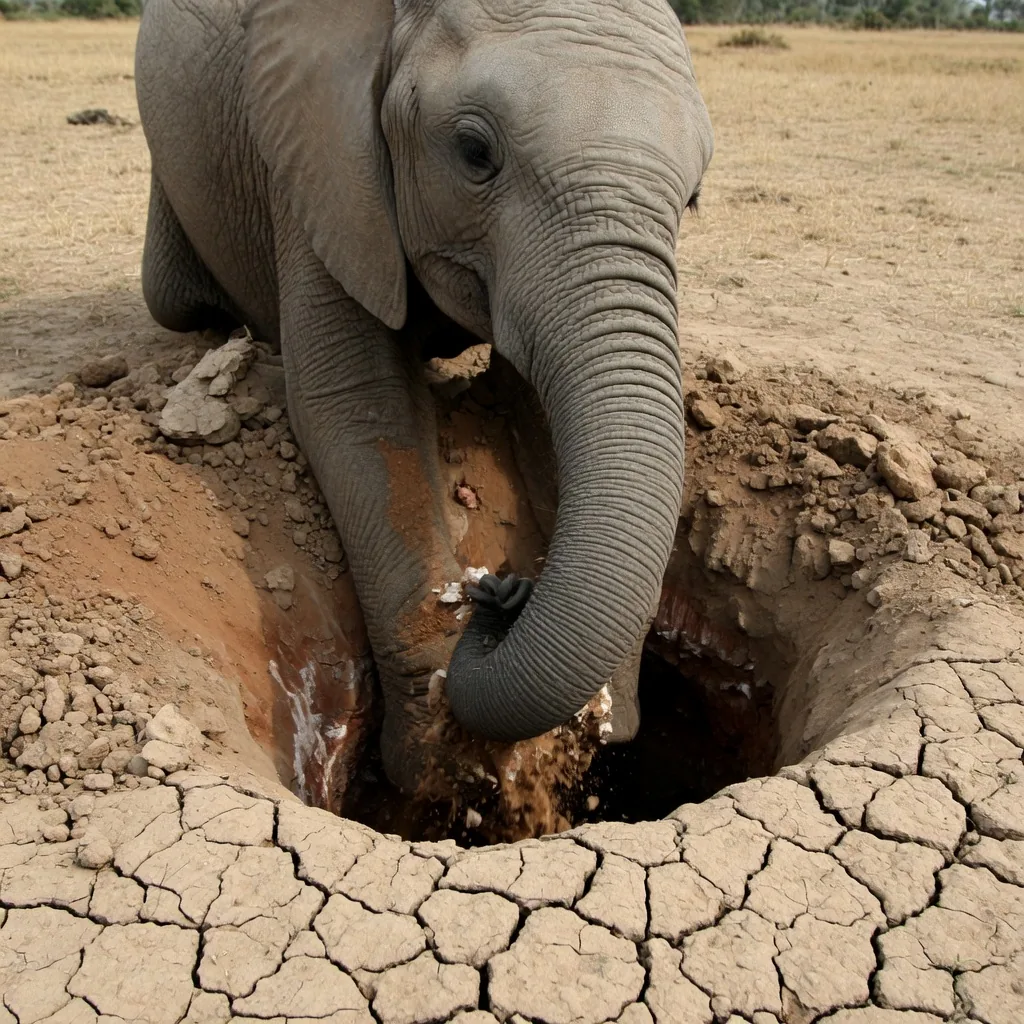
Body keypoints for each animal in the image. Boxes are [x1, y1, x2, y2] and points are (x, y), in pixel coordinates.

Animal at [135, 0, 713, 795]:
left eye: (695, 196)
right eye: (474, 152)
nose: (504, 591)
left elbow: (539, 408)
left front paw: (607, 720)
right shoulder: (320, 161)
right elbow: (355, 403)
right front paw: (437, 765)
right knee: (174, 301)